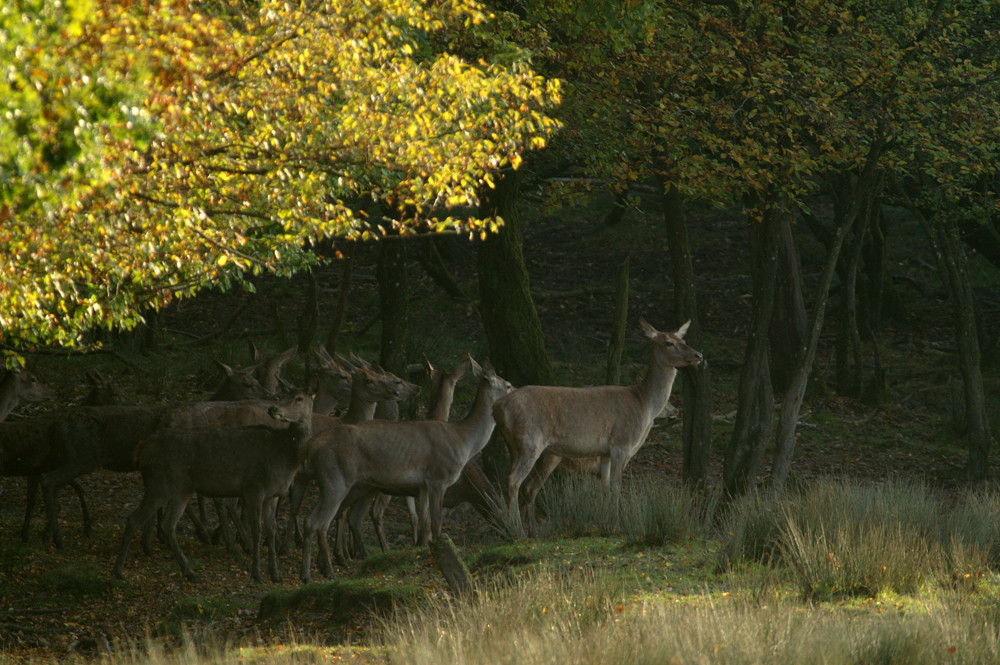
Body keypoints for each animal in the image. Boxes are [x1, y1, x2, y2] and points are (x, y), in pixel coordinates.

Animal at [300, 358, 512, 580]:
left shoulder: (424, 485)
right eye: (507, 385)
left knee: (321, 519)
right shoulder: (438, 478)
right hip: (336, 480)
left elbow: (425, 524)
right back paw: (325, 572)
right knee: (319, 522)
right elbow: (436, 525)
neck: (463, 440)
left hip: (348, 485)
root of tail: (310, 446)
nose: (515, 389)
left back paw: (315, 571)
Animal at [494, 318, 704, 536]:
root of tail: (498, 407)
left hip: (515, 446)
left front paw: (604, 523)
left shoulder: (604, 452)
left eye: (683, 339)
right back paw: (517, 530)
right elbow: (616, 487)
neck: (643, 404)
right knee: (515, 480)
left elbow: (604, 487)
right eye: (669, 342)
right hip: (531, 442)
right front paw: (617, 525)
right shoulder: (621, 443)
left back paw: (527, 530)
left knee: (521, 483)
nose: (698, 355)